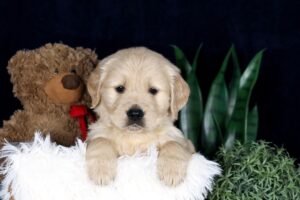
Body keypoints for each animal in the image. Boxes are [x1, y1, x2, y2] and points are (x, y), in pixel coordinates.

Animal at [85, 47, 196, 187]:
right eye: (120, 88)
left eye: (153, 90)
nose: (135, 114)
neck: (134, 136)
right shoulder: (93, 135)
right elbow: (100, 141)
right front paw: (101, 170)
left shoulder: (187, 144)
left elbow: (174, 144)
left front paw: (171, 172)